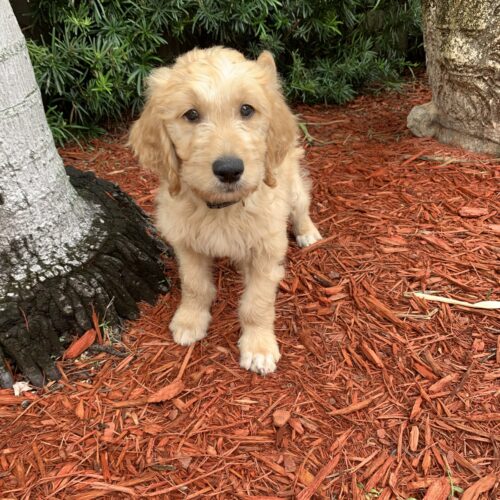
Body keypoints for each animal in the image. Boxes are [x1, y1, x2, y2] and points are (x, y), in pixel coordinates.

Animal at [129, 47, 322, 376]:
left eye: (246, 110)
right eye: (191, 115)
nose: (229, 170)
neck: (221, 208)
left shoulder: (267, 248)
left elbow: (257, 302)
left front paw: (258, 346)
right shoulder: (185, 242)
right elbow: (194, 285)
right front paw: (190, 320)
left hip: (290, 181)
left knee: (301, 203)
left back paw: (307, 232)